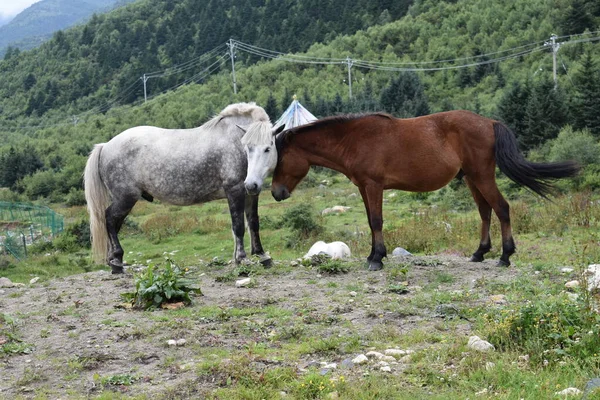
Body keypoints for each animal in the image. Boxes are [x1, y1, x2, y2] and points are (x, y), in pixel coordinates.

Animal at [82, 101, 286, 274]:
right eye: (248, 148)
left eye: (268, 148)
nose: (252, 183)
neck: (234, 140)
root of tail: (105, 146)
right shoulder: (235, 190)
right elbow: (238, 226)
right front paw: (241, 258)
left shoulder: (250, 194)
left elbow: (253, 223)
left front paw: (262, 255)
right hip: (126, 198)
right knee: (110, 219)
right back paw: (116, 261)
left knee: (113, 223)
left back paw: (113, 260)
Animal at [274, 111, 580, 270]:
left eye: (277, 157)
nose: (276, 193)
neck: (354, 139)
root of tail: (490, 123)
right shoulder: (364, 187)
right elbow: (371, 221)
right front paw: (373, 255)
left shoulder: (374, 186)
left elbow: (377, 221)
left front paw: (377, 259)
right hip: (472, 179)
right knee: (485, 212)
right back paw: (480, 252)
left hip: (481, 176)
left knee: (501, 208)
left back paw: (505, 256)